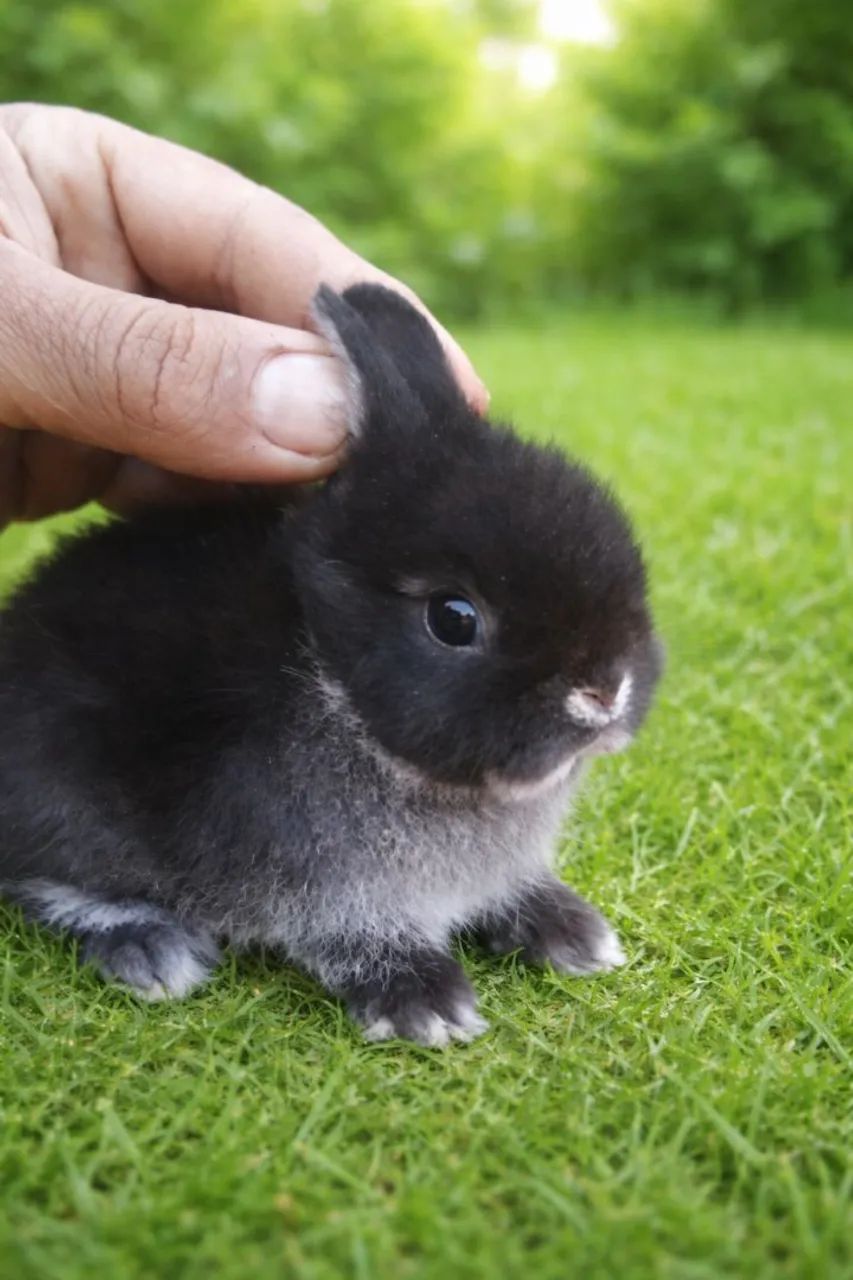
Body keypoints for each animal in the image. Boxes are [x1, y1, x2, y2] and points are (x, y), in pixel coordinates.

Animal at [0, 283, 663, 1046]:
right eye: (453, 618)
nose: (603, 692)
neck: (335, 691)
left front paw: (569, 931)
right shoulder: (300, 869)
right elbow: (342, 930)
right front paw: (424, 1001)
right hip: (60, 795)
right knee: (44, 877)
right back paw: (149, 946)